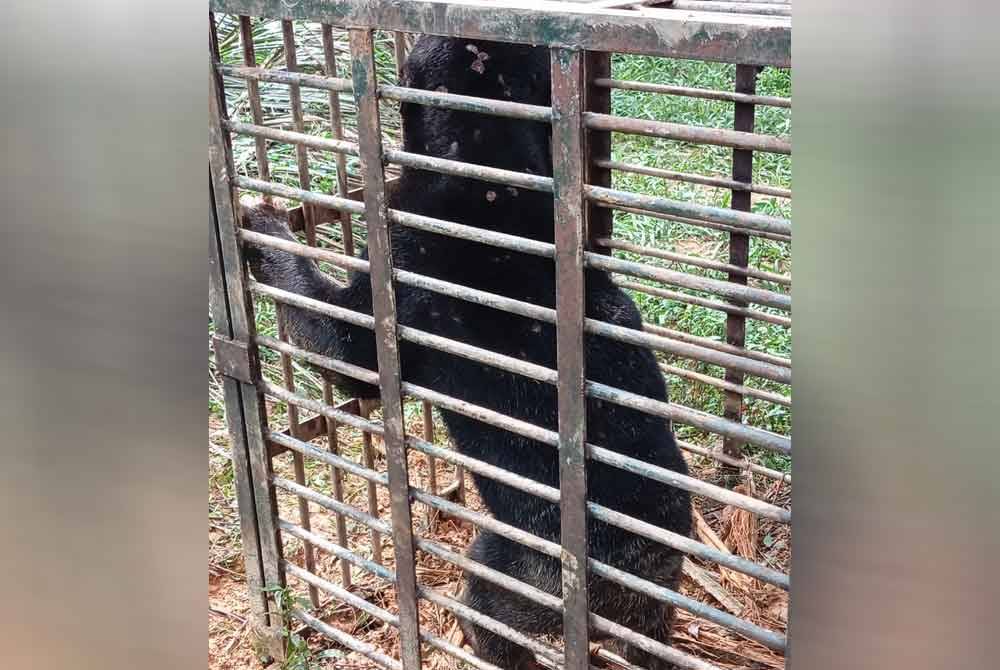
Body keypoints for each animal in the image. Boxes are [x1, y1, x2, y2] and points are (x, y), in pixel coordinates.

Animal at [243, 35, 696, 670]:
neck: (490, 172)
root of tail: (638, 578)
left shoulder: (399, 266)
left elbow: (345, 347)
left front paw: (265, 231)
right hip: (647, 599)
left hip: (529, 576)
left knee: (488, 612)